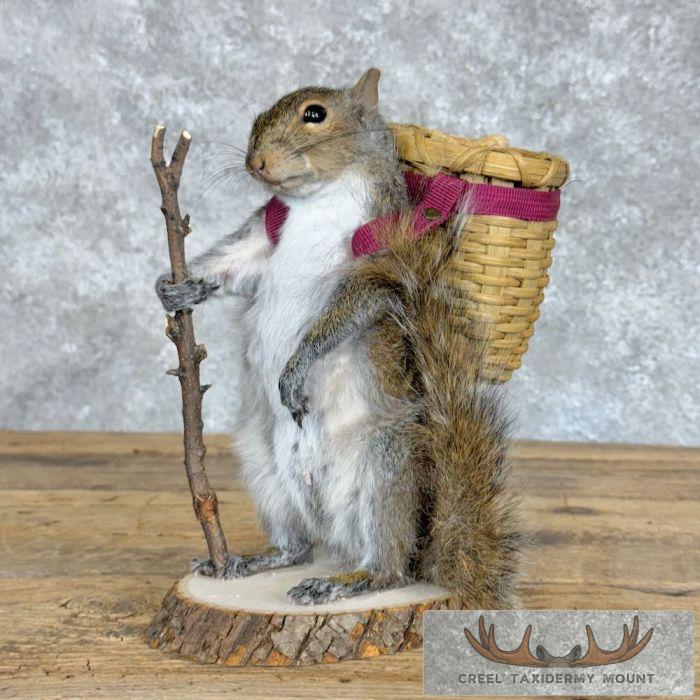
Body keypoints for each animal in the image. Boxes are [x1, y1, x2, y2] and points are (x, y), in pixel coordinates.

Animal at [156, 68, 520, 608]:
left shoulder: (380, 257)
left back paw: (344, 581)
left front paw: (294, 371)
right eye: (258, 115)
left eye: (315, 114)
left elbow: (348, 312)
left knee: (390, 568)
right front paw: (179, 286)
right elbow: (235, 265)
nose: (254, 163)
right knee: (297, 546)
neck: (317, 200)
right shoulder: (267, 235)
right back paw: (251, 561)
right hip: (265, 470)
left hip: (385, 470)